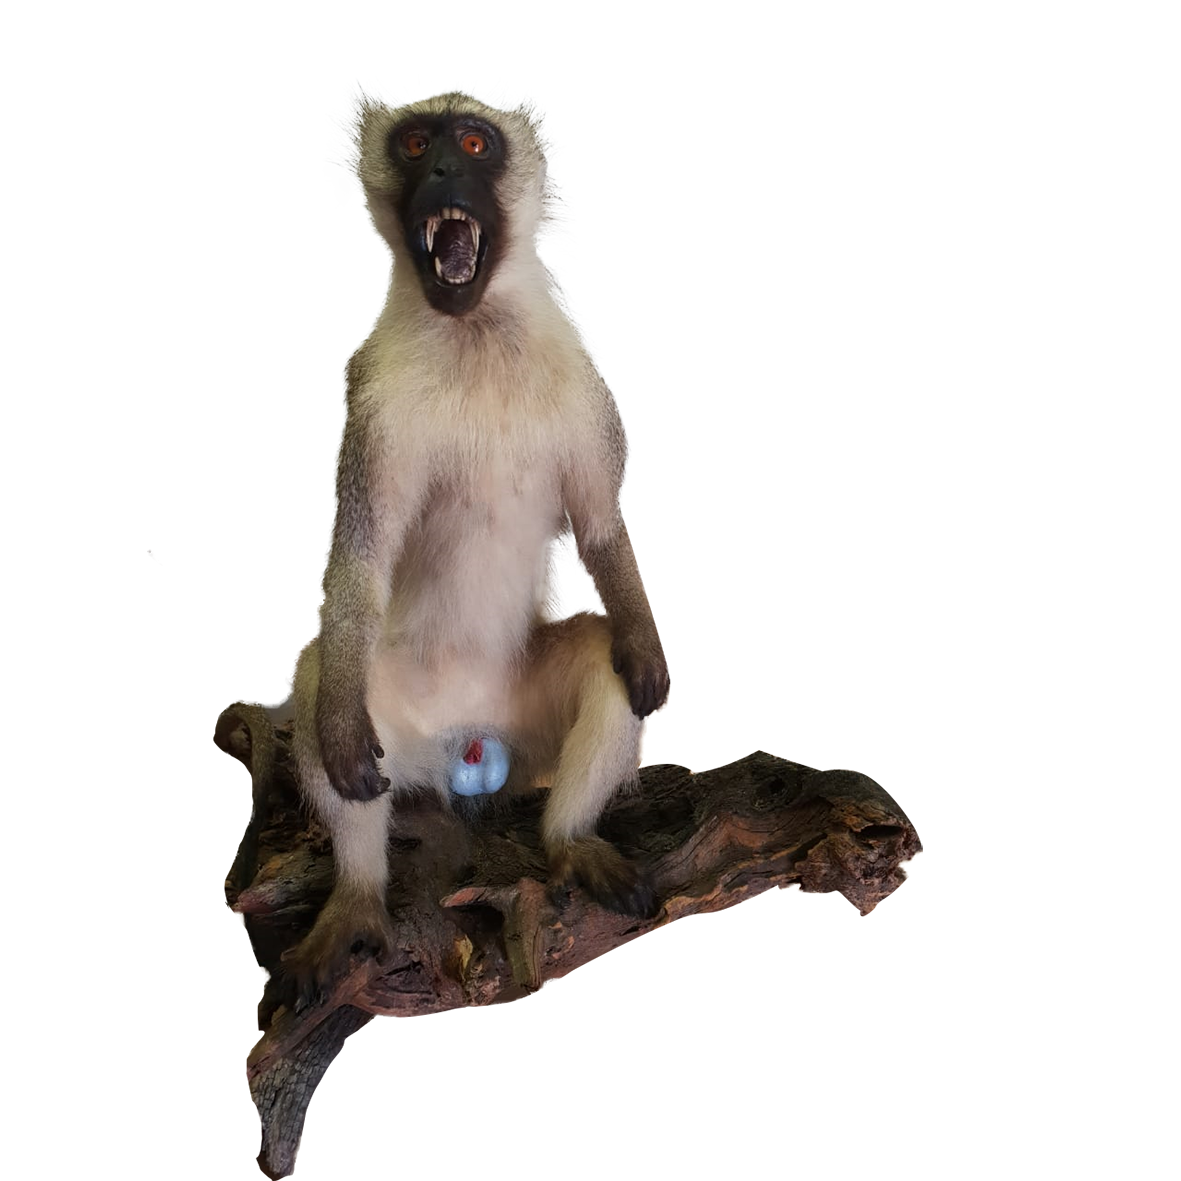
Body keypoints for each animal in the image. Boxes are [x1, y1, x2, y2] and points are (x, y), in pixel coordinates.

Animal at [282, 93, 670, 1000]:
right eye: (416, 143)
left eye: (470, 143)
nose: (440, 172)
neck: (476, 333)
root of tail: (464, 742)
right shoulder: (375, 401)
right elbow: (359, 559)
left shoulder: (584, 391)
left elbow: (602, 525)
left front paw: (648, 644)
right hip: (396, 727)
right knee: (320, 676)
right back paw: (358, 896)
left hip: (525, 728)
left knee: (604, 661)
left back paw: (568, 841)